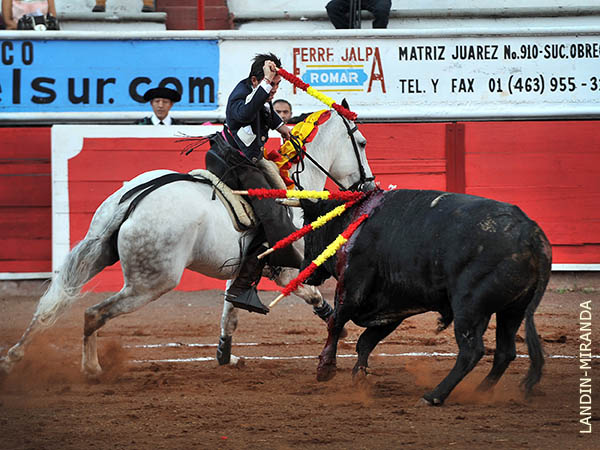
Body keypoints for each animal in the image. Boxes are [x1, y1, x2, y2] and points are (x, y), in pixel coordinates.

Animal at [1, 109, 376, 376]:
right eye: (361, 142)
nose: (370, 185)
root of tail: (134, 199)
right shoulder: (284, 268)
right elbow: (311, 294)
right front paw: (336, 325)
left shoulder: (242, 268)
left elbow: (230, 310)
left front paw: (225, 355)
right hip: (152, 282)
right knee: (94, 313)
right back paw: (92, 368)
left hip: (99, 253)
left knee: (51, 305)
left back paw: (14, 357)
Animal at [300, 188, 552, 406]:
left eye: (309, 232)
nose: (306, 272)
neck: (352, 222)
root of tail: (531, 233)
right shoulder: (392, 306)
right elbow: (365, 341)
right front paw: (360, 378)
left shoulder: (352, 289)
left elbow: (336, 323)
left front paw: (325, 369)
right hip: (513, 310)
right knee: (505, 351)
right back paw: (480, 391)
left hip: (468, 307)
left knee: (471, 351)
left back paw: (434, 396)